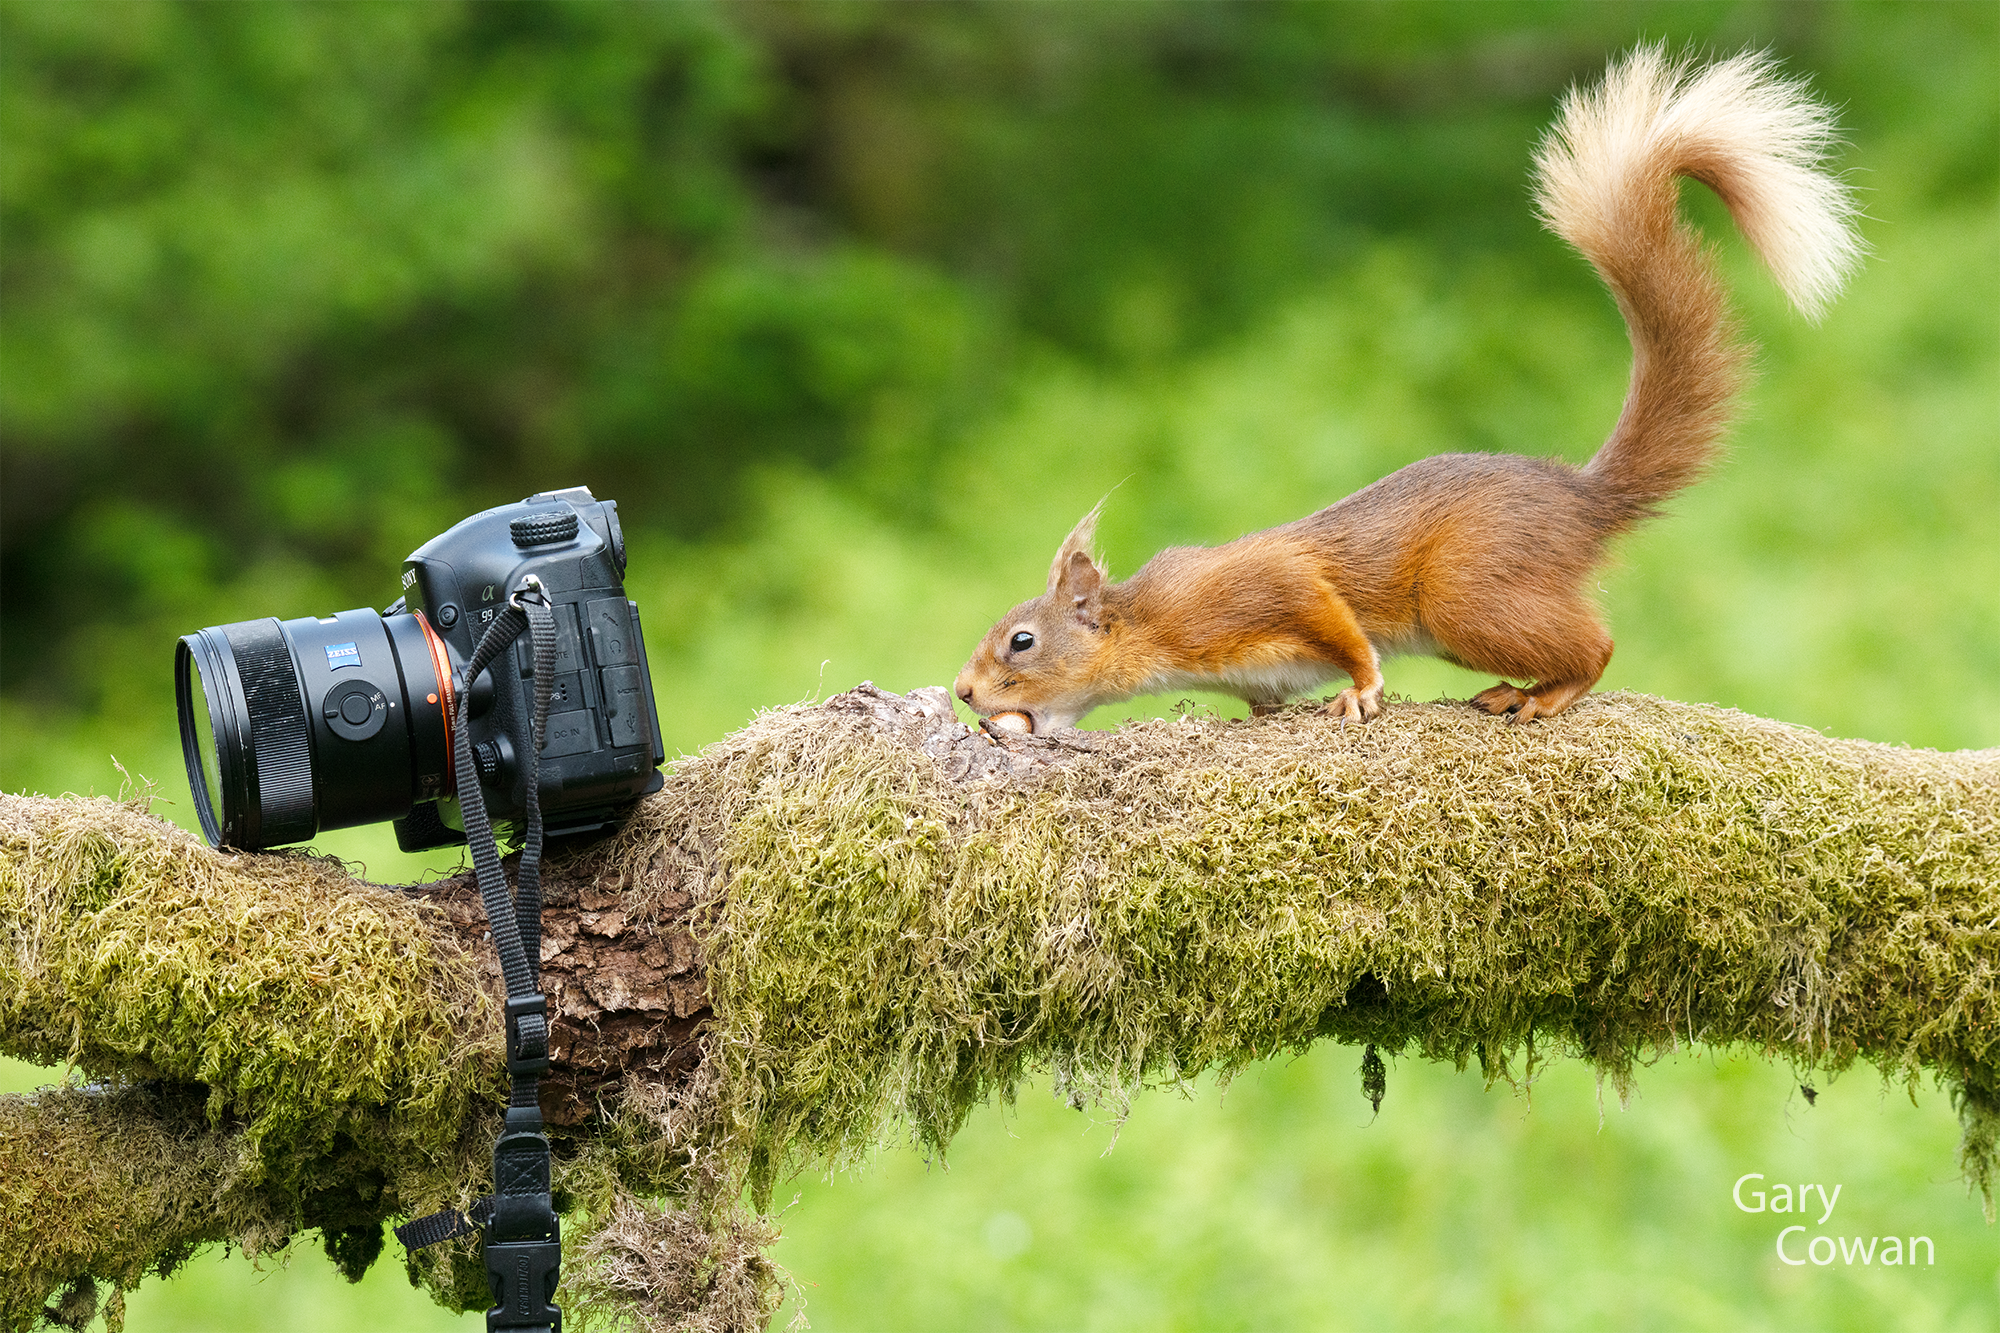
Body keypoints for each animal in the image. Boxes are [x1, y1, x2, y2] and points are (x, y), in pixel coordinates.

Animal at [955, 46, 1862, 735]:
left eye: (1022, 642)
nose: (963, 692)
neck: (1151, 625)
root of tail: (1581, 499)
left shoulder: (1264, 588)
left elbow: (1337, 624)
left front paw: (1360, 689)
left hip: (1471, 593)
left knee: (1596, 645)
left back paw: (1541, 696)